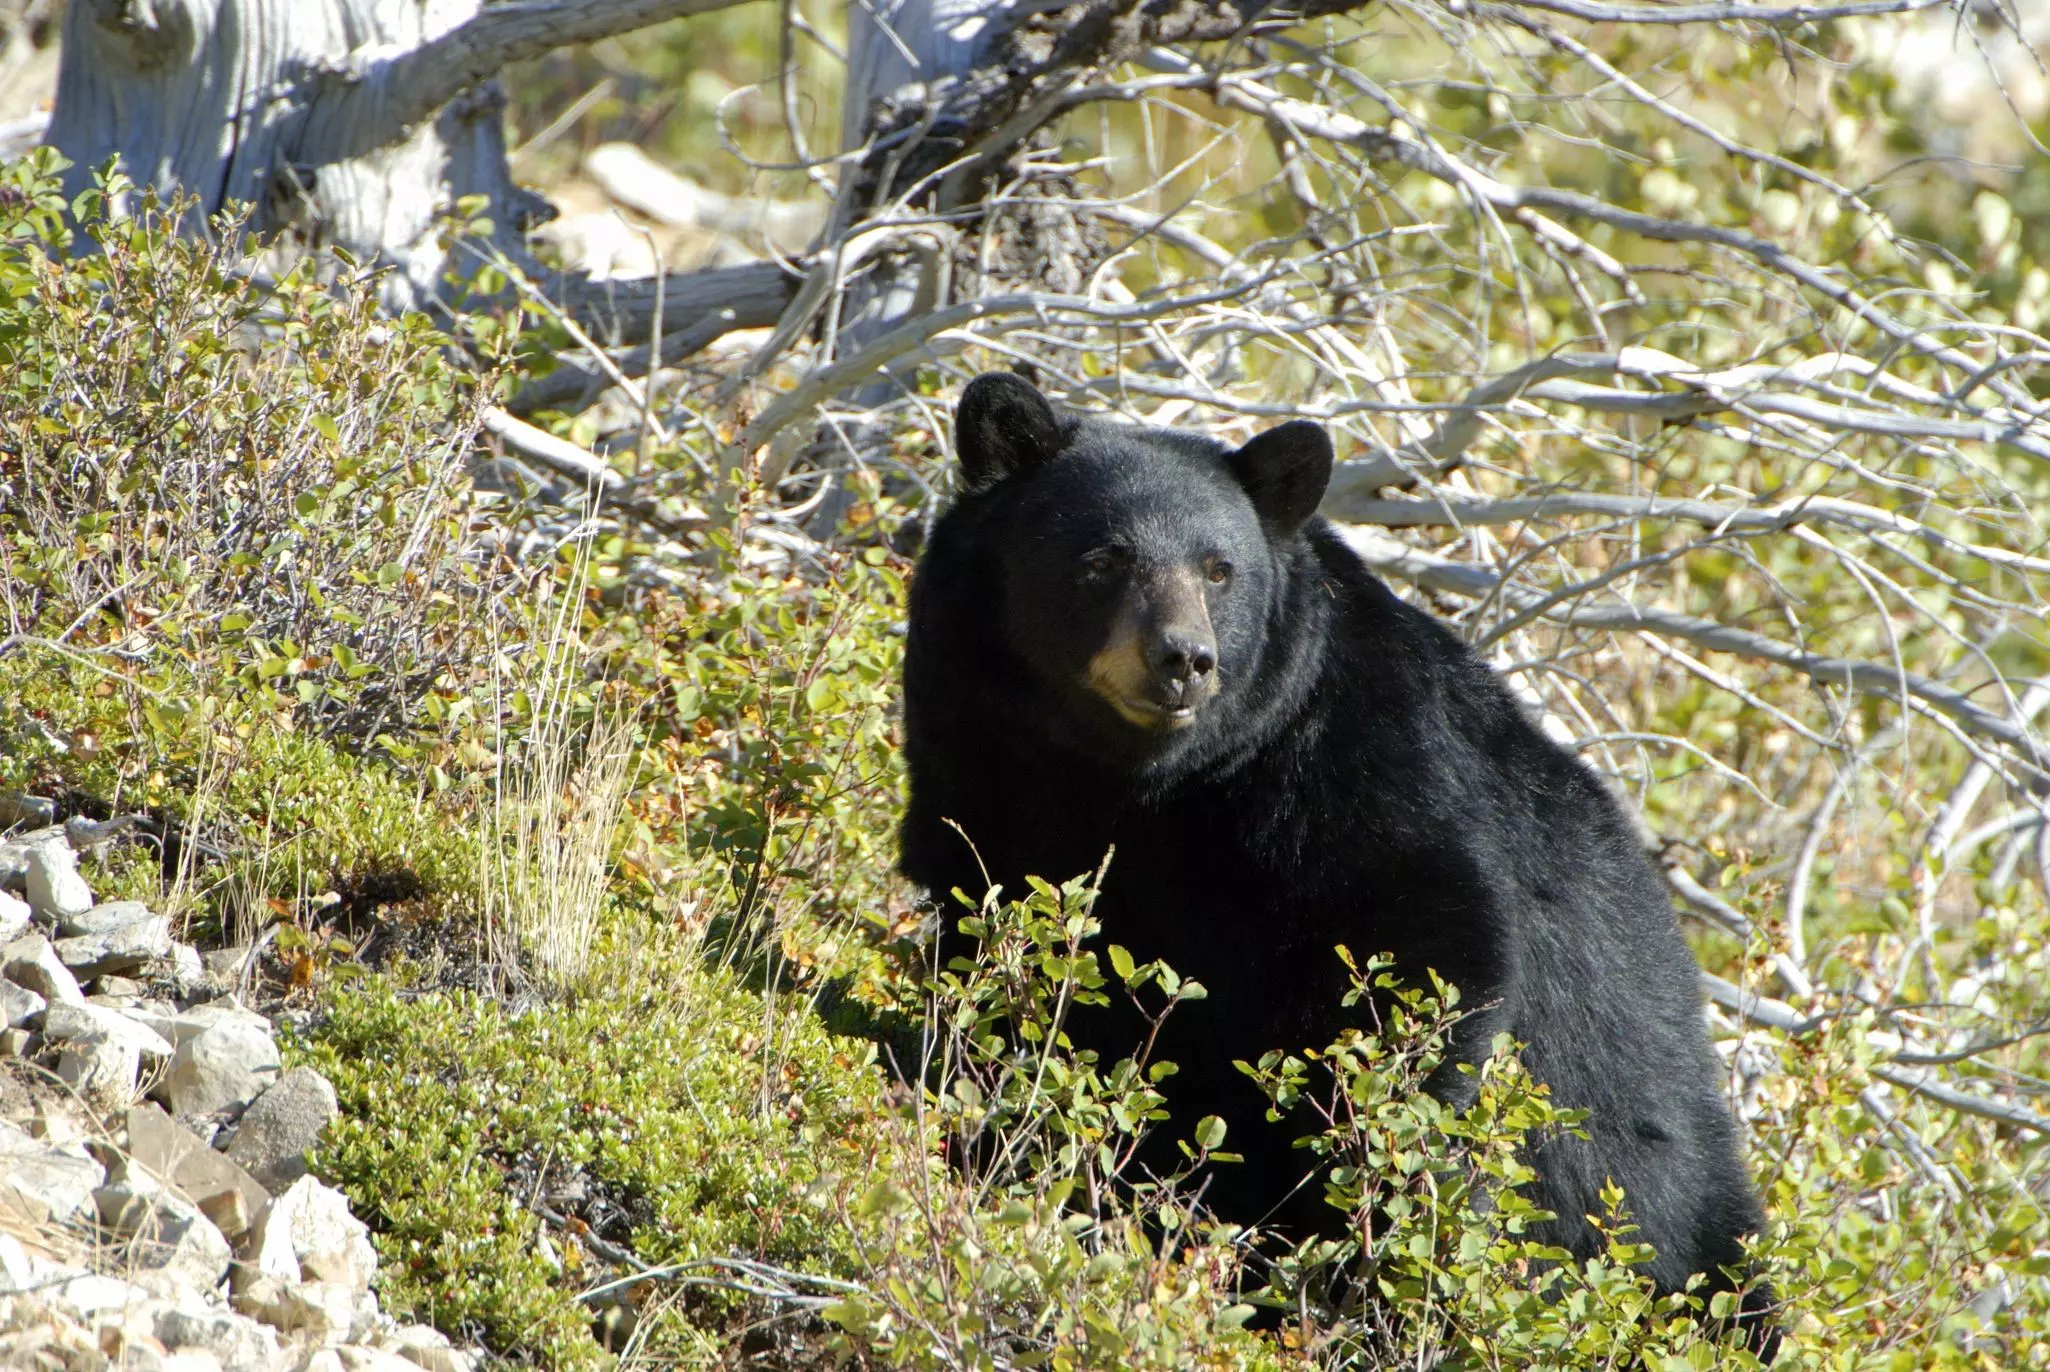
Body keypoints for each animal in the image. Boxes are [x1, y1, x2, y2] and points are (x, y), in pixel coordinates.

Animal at [899, 371, 1775, 1347]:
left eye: (1219, 569)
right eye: (1103, 559)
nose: (1184, 660)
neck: (1146, 785)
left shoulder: (1355, 770)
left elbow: (1414, 969)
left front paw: (1339, 1244)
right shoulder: (985, 764)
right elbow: (1009, 955)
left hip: (1664, 1196)